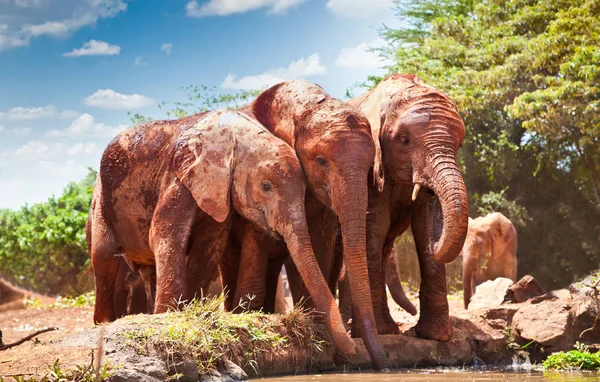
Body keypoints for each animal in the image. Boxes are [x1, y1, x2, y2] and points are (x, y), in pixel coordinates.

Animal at [86, 108, 354, 356]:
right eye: (266, 186)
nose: (353, 346)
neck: (236, 140)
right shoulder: (179, 175)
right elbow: (165, 232)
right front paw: (170, 315)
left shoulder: (220, 191)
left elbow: (211, 244)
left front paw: (189, 312)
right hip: (101, 197)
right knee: (104, 257)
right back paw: (106, 321)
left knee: (147, 268)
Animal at [221, 79, 390, 368]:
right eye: (321, 161)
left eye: (371, 165)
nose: (382, 362)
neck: (303, 105)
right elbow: (260, 235)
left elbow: (320, 240)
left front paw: (314, 320)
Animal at [340, 74, 472, 340]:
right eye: (404, 140)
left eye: (459, 145)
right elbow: (374, 225)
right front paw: (381, 333)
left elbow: (425, 222)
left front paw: (435, 335)